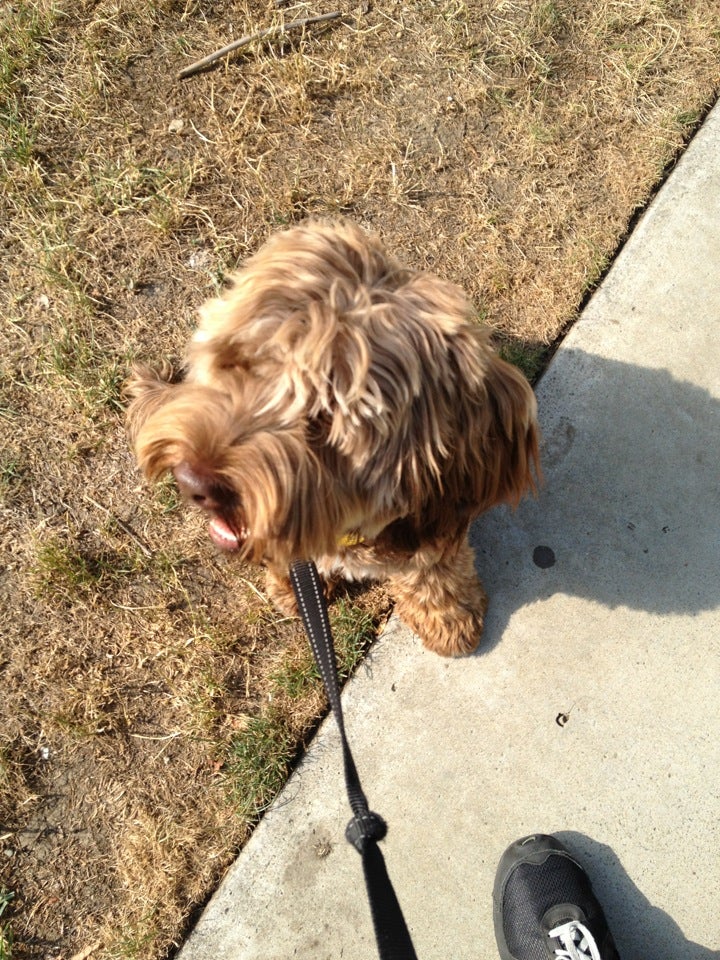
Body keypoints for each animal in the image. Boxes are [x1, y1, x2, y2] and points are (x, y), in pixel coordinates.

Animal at [125, 223, 540, 660]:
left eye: (325, 414)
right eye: (238, 364)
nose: (192, 481)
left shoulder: (433, 523)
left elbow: (434, 572)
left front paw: (448, 619)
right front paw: (292, 591)